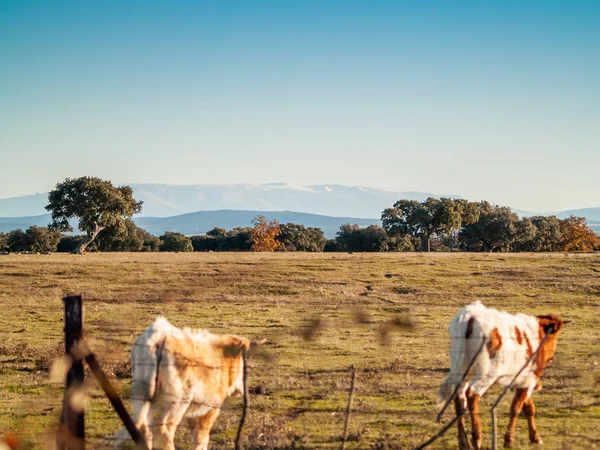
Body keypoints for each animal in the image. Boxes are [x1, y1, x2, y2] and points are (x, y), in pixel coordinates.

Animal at [112, 316, 264, 450]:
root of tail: (159, 337)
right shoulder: (212, 407)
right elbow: (203, 437)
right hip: (179, 402)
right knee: (165, 429)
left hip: (142, 397)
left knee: (145, 428)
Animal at [436, 300, 568, 448]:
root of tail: (471, 315)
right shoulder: (528, 379)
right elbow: (517, 408)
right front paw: (509, 440)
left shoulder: (519, 381)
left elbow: (528, 407)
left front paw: (534, 437)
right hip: (487, 374)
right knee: (471, 395)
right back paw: (477, 438)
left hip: (463, 370)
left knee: (459, 398)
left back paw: (464, 442)